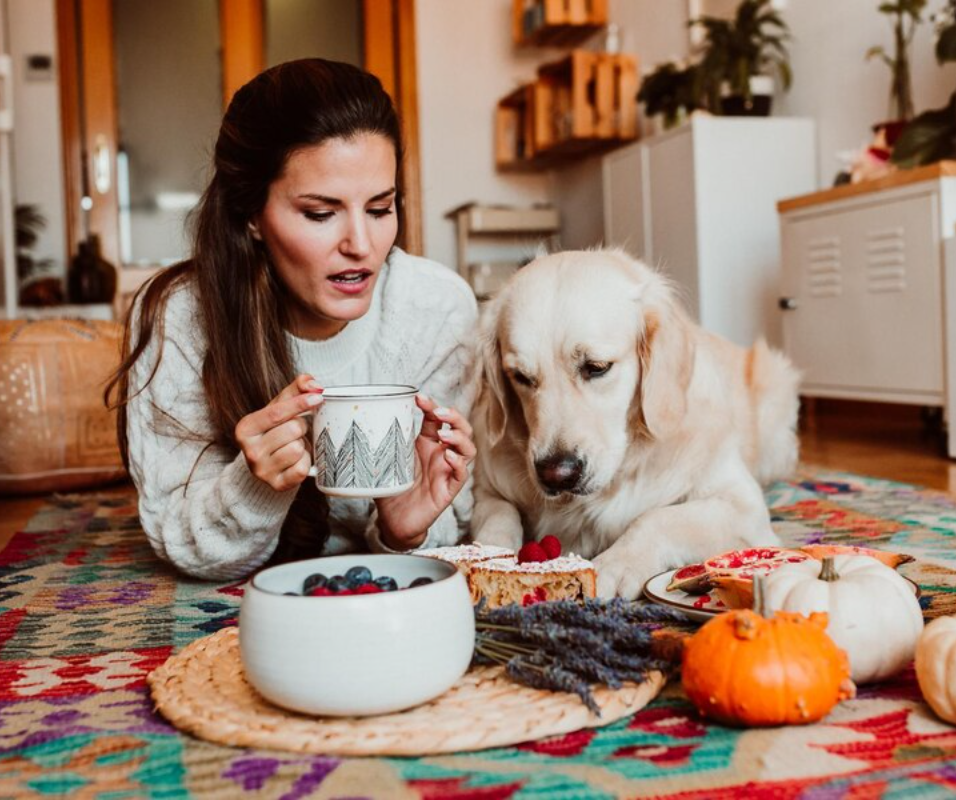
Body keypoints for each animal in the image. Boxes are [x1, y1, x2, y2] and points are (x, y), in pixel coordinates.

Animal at [470, 247, 800, 596]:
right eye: (520, 376)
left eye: (597, 367)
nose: (557, 474)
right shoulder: (486, 489)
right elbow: (499, 513)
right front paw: (486, 553)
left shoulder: (743, 507)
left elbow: (657, 518)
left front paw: (616, 564)